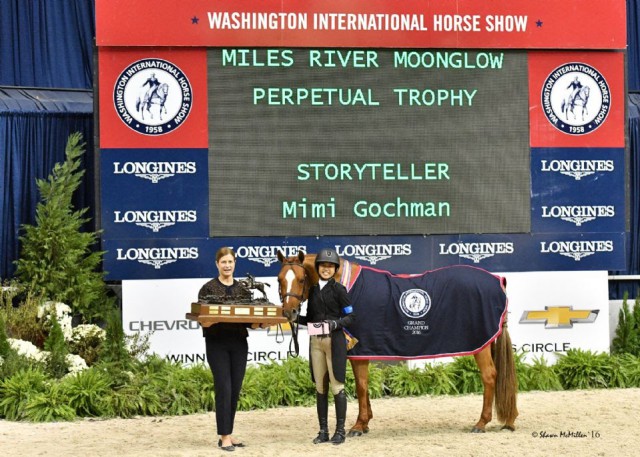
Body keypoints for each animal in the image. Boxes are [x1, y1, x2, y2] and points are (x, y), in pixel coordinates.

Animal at [278, 251, 516, 432]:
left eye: (301, 279)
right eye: (280, 279)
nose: (289, 313)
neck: (347, 286)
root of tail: (498, 280)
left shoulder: (359, 350)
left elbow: (362, 385)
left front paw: (358, 426)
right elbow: (364, 385)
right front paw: (366, 421)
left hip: (480, 345)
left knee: (489, 376)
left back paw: (481, 423)